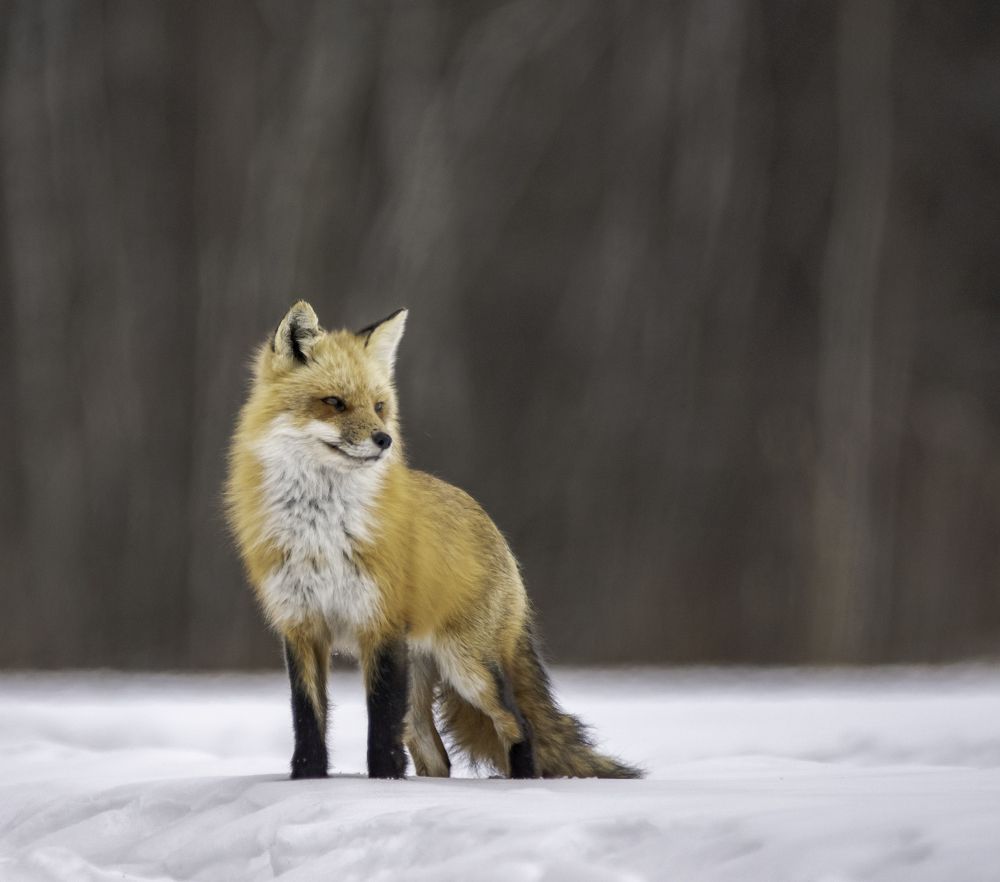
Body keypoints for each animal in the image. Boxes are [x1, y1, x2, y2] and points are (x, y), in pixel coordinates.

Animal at [225, 301, 640, 780]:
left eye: (379, 406)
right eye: (334, 403)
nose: (384, 440)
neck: (321, 531)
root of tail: (493, 529)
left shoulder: (380, 625)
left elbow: (380, 724)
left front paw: (383, 781)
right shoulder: (301, 626)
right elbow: (307, 718)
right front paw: (308, 780)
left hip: (468, 668)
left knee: (518, 724)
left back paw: (523, 784)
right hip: (424, 677)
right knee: (437, 757)